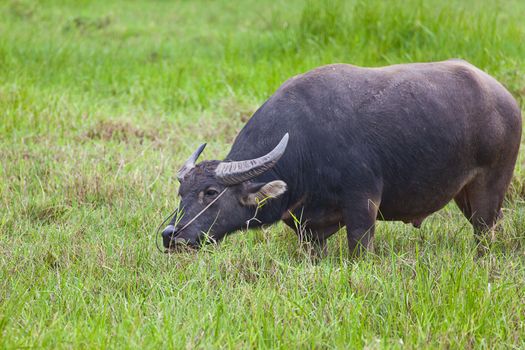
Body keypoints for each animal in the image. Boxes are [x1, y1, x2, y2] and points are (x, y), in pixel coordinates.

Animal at [162, 59, 520, 258]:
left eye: (211, 193)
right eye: (181, 193)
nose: (170, 235)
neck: (304, 148)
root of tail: (504, 98)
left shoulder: (363, 205)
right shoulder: (307, 228)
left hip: (490, 191)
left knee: (485, 232)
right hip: (464, 194)